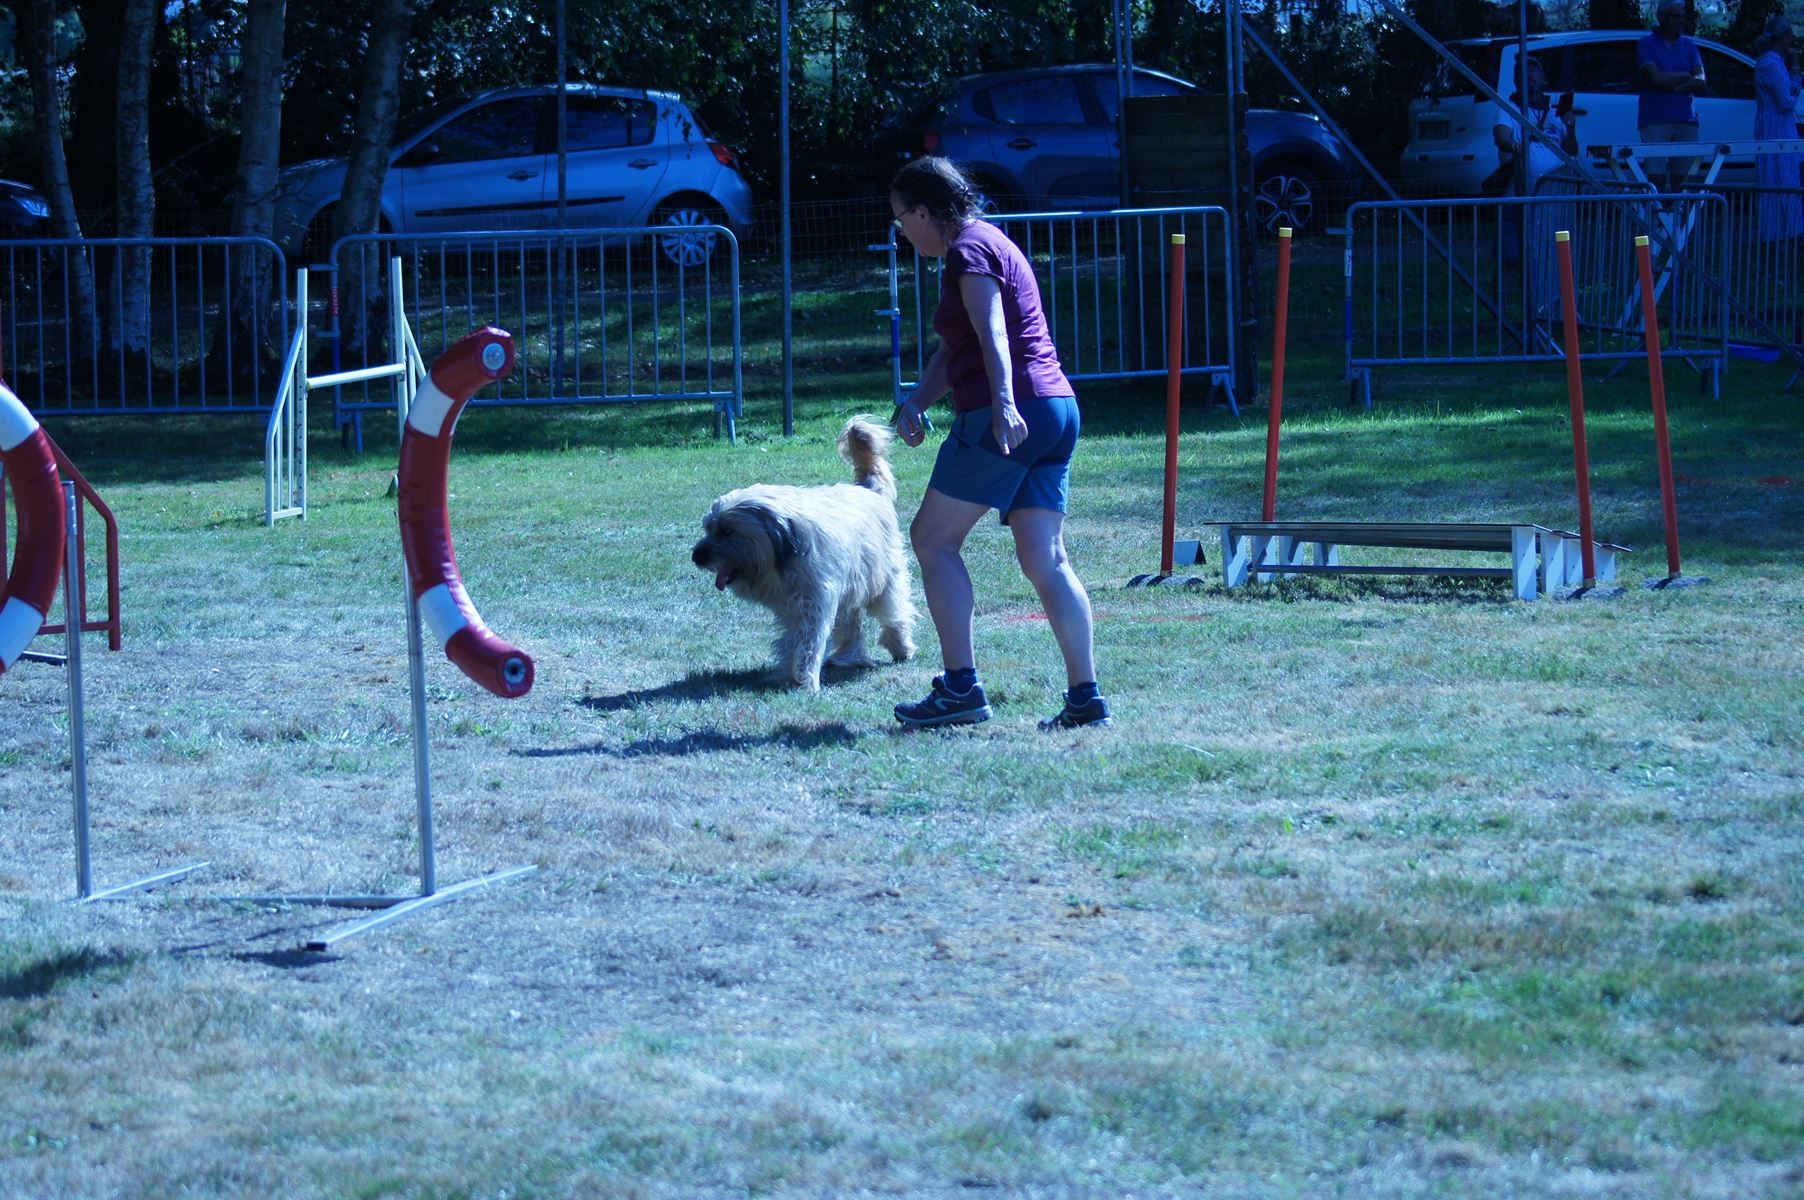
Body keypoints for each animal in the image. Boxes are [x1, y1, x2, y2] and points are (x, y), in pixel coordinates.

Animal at [689, 416, 916, 689]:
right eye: (709, 528)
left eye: (727, 531)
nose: (697, 556)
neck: (785, 547)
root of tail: (868, 490)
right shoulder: (793, 607)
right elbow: (792, 640)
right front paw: (789, 674)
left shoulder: (814, 602)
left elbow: (808, 640)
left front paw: (805, 679)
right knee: (852, 624)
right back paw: (849, 656)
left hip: (884, 578)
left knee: (894, 612)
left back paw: (901, 647)